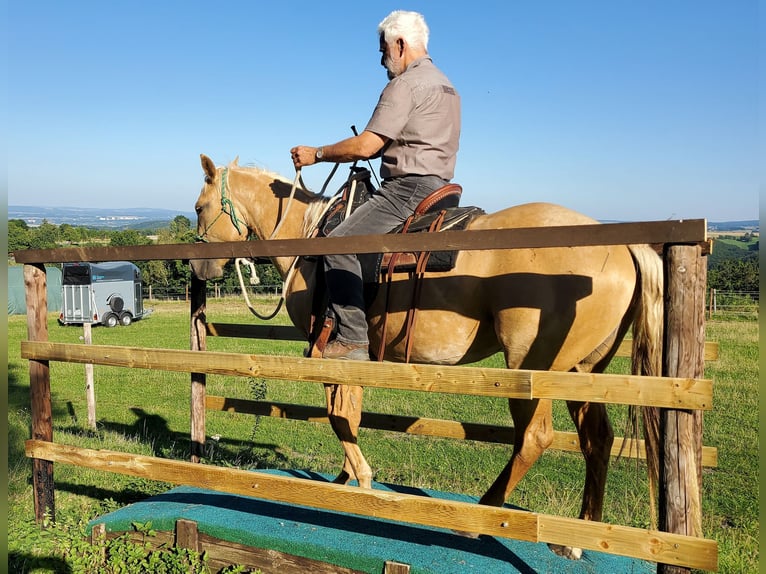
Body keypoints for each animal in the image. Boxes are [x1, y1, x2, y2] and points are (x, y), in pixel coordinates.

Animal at [189, 155, 664, 560]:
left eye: (199, 206)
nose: (199, 268)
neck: (309, 241)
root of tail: (624, 247)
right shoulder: (354, 353)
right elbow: (349, 411)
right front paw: (346, 479)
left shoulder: (324, 345)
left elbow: (338, 414)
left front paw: (361, 479)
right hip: (583, 370)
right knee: (597, 439)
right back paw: (578, 540)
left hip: (530, 367)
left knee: (535, 437)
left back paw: (479, 519)